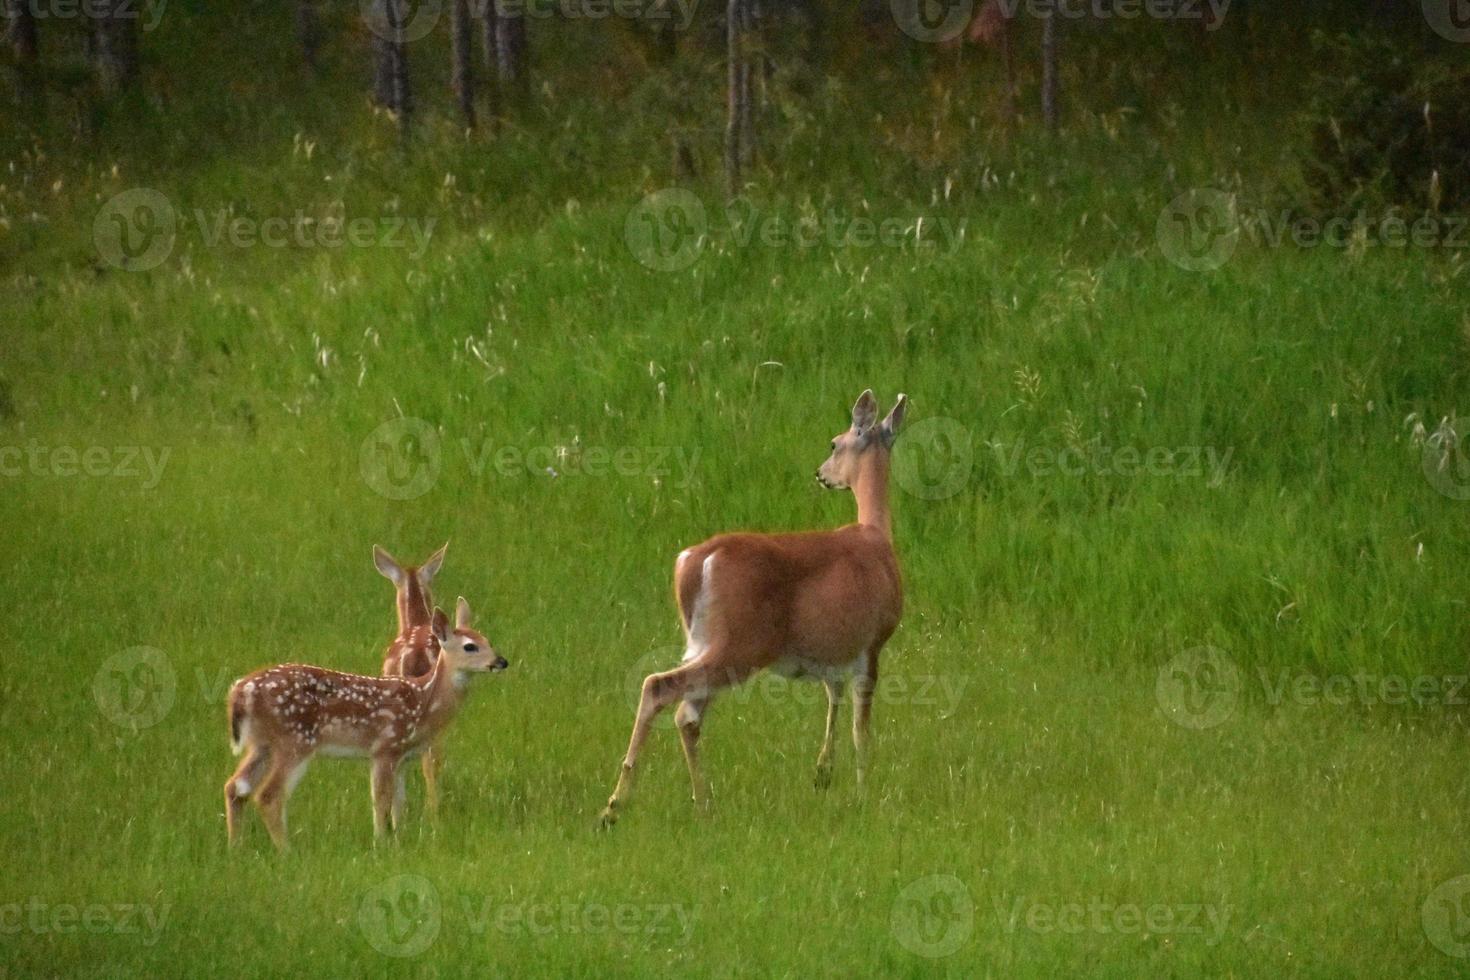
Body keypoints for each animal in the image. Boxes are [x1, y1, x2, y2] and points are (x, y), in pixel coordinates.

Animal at [220, 599, 508, 852]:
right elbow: (380, 799)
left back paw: (236, 848)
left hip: (262, 743)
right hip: (295, 740)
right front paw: (381, 842)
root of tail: (240, 692)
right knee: (268, 795)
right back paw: (286, 851)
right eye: (470, 646)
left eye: (488, 641)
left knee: (236, 786)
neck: (424, 702)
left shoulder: (402, 757)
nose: (501, 661)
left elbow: (399, 802)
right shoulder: (384, 747)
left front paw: (400, 838)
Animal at [599, 390, 905, 828]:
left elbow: (835, 700)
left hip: (703, 641)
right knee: (661, 688)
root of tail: (694, 560)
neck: (876, 537)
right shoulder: (872, 642)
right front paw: (865, 792)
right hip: (740, 643)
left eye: (833, 444)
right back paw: (615, 807)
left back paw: (702, 803)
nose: (821, 474)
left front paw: (824, 774)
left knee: (687, 714)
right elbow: (860, 726)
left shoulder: (832, 653)